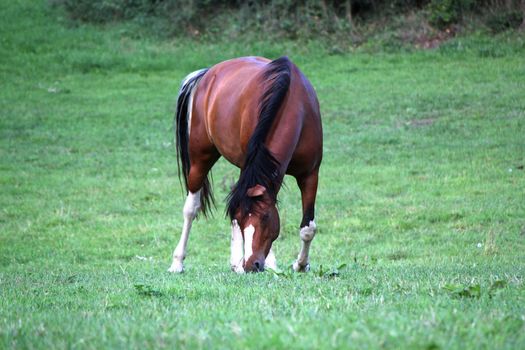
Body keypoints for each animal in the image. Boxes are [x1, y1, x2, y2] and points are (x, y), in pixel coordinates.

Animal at [169, 56, 324, 274]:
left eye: (266, 218)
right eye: (245, 221)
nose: (252, 265)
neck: (294, 104)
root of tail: (209, 73)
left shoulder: (310, 174)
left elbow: (308, 227)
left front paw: (301, 264)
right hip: (200, 158)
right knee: (191, 209)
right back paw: (178, 262)